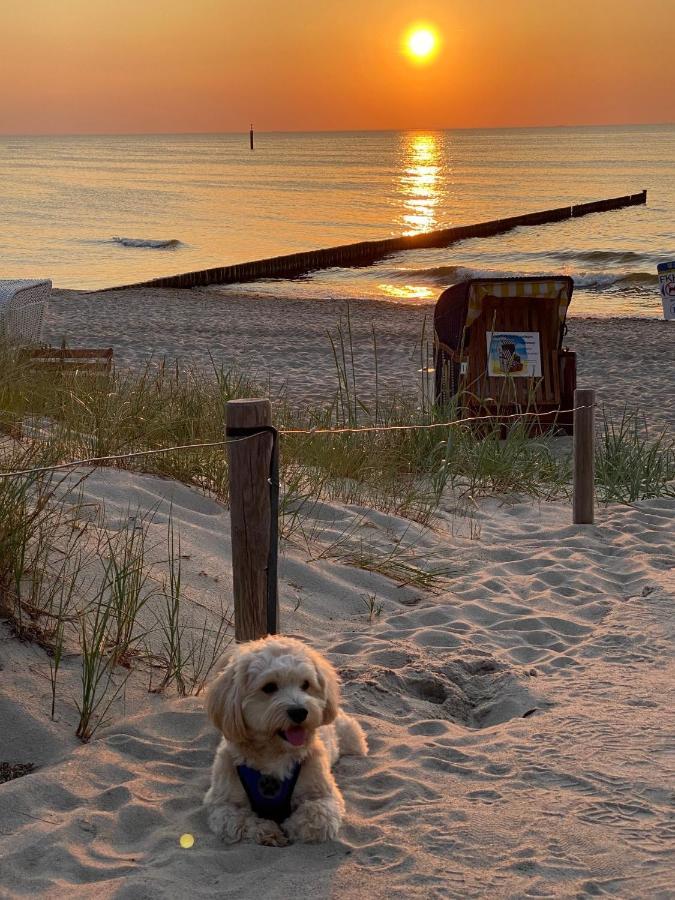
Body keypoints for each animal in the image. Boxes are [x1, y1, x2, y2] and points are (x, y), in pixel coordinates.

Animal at [203, 632, 368, 844]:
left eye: (305, 684)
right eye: (269, 687)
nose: (299, 712)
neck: (274, 752)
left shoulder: (323, 795)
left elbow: (314, 817)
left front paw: (291, 826)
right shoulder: (222, 803)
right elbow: (240, 820)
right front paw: (267, 830)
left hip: (352, 739)